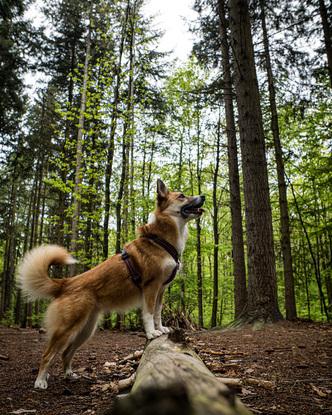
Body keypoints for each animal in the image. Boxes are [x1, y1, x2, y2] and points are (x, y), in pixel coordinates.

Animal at [18, 180, 205, 390]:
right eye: (182, 196)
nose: (203, 196)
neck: (160, 240)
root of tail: (66, 283)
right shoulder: (151, 287)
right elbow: (148, 314)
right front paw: (151, 333)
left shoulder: (161, 289)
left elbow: (157, 313)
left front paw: (162, 329)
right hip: (66, 328)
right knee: (47, 354)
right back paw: (40, 381)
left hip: (85, 329)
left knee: (66, 352)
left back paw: (69, 375)